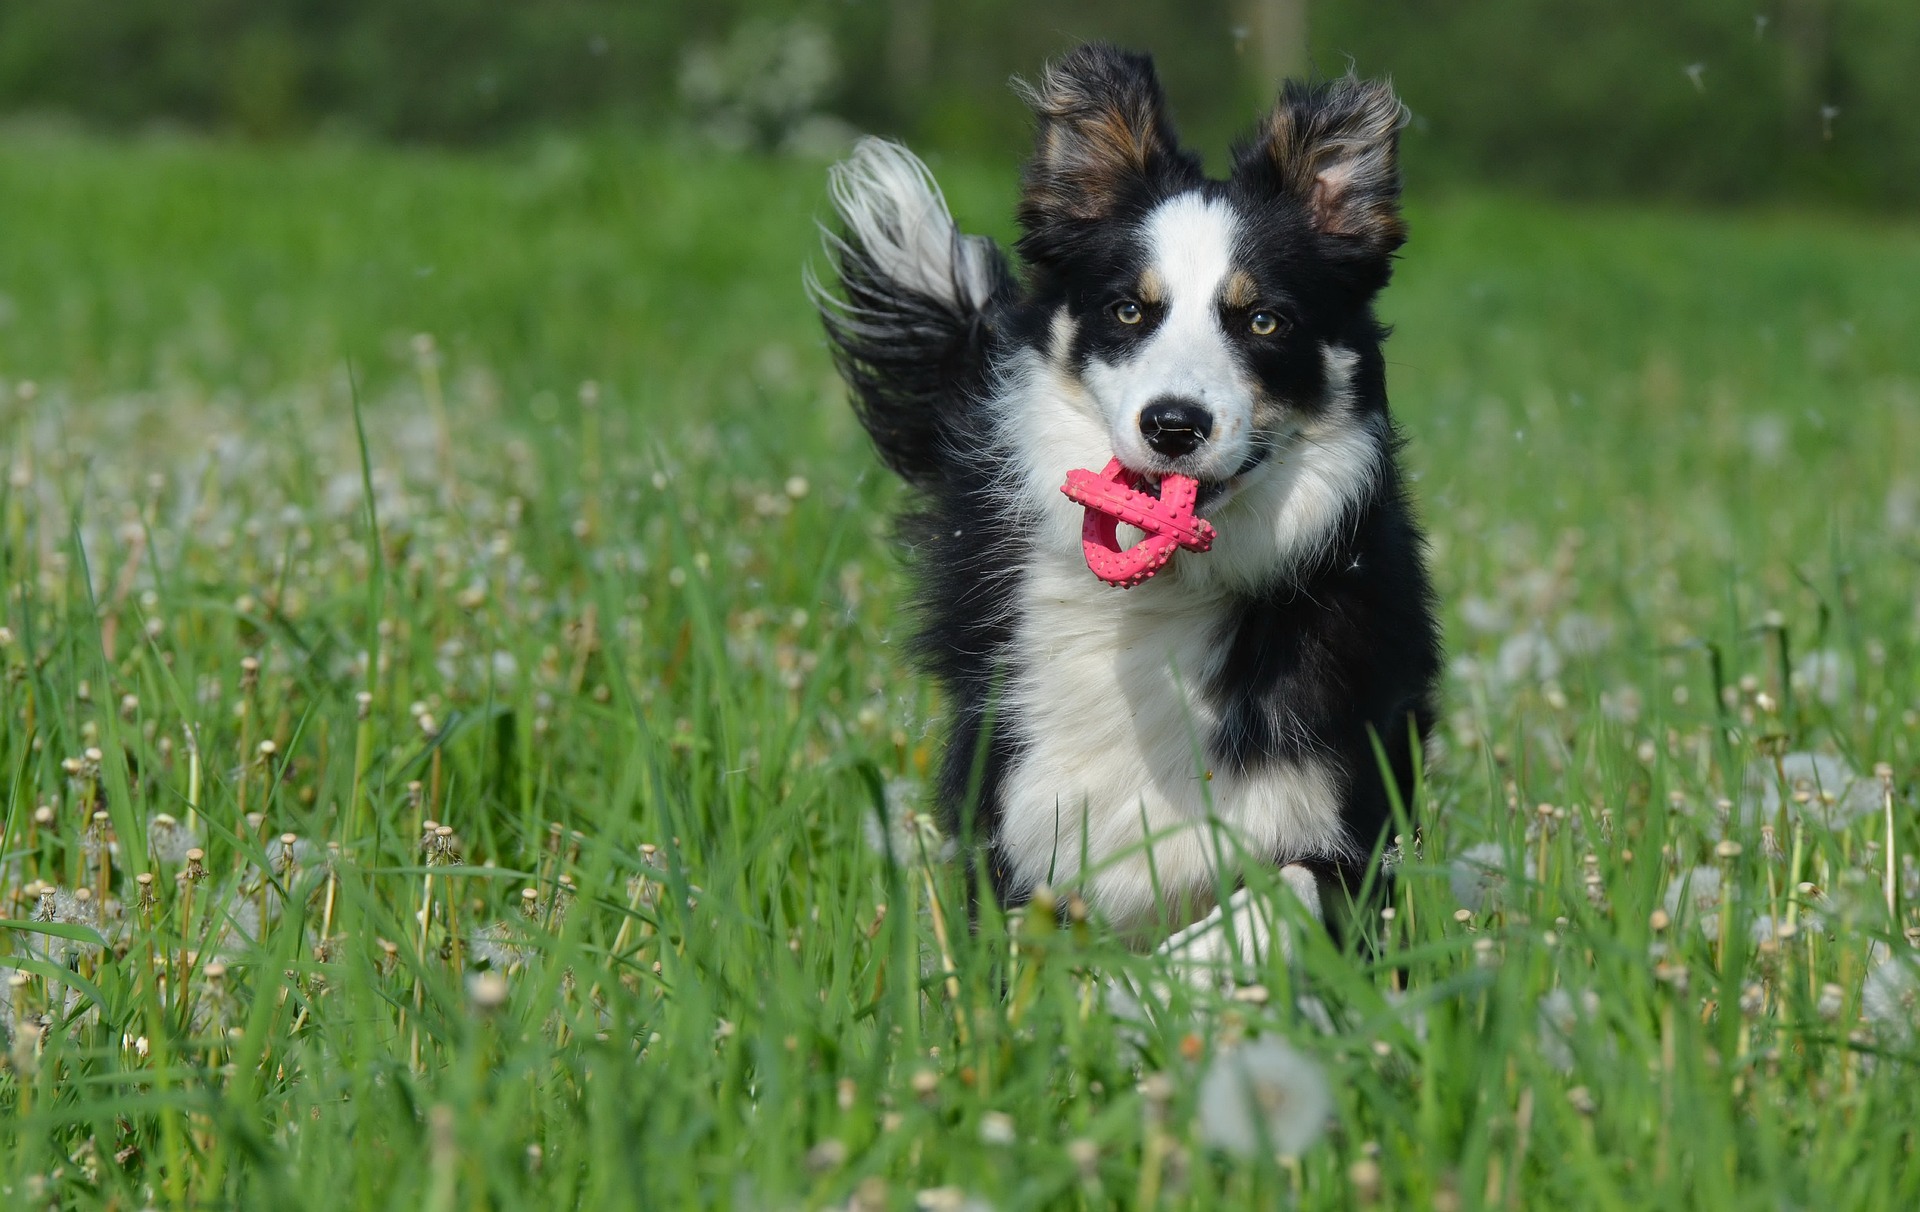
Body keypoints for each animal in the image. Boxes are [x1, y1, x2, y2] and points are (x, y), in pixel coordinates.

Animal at [814, 42, 1443, 964]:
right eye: (1128, 311)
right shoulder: (1022, 806)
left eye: (1263, 321)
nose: (1174, 425)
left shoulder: (1340, 812)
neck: (1167, 598)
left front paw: (1174, 977)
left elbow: (1283, 892)